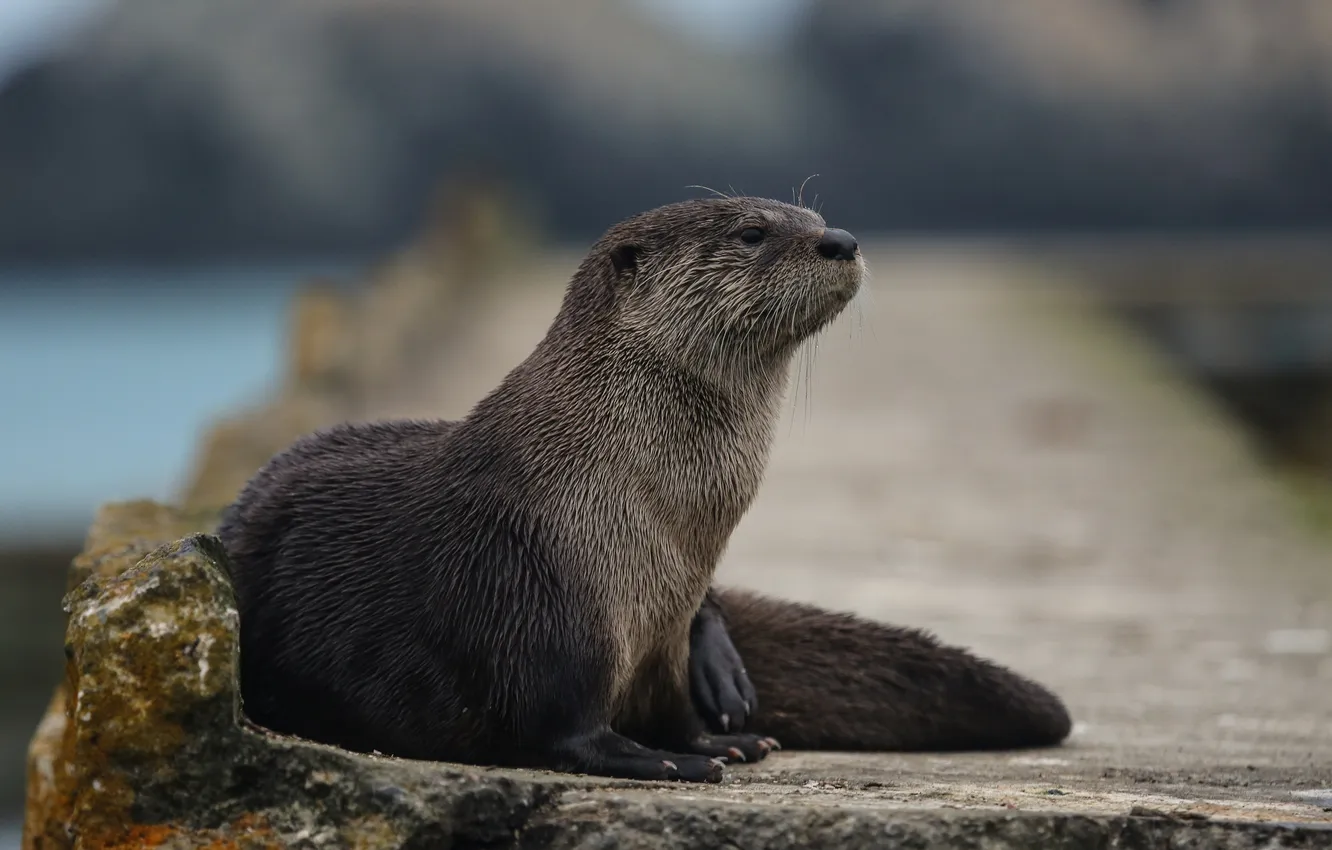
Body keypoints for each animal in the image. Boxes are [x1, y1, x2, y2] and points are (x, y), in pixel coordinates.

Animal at [218, 196, 1071, 784]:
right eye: (752, 232)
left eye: (813, 216)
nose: (842, 240)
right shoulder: (538, 593)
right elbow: (560, 728)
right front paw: (663, 761)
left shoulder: (662, 627)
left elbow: (673, 705)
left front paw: (717, 738)